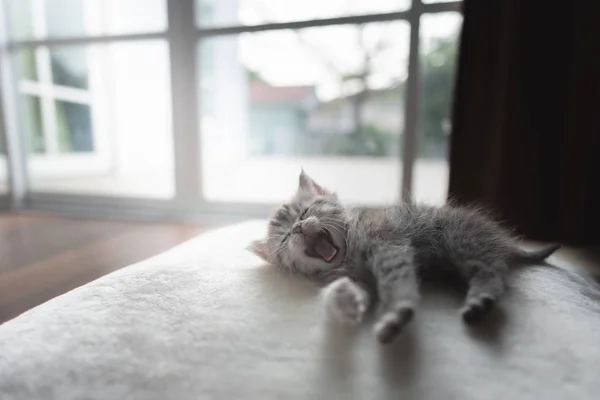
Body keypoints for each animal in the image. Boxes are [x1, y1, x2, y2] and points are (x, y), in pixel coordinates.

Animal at [248, 170, 556, 344]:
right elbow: (357, 292)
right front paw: (345, 302)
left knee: (493, 272)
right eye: (284, 239)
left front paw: (396, 312)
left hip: (461, 239)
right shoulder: (361, 279)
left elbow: (396, 281)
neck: (348, 253)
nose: (298, 229)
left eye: (303, 213)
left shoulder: (388, 244)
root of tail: (502, 238)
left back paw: (480, 300)